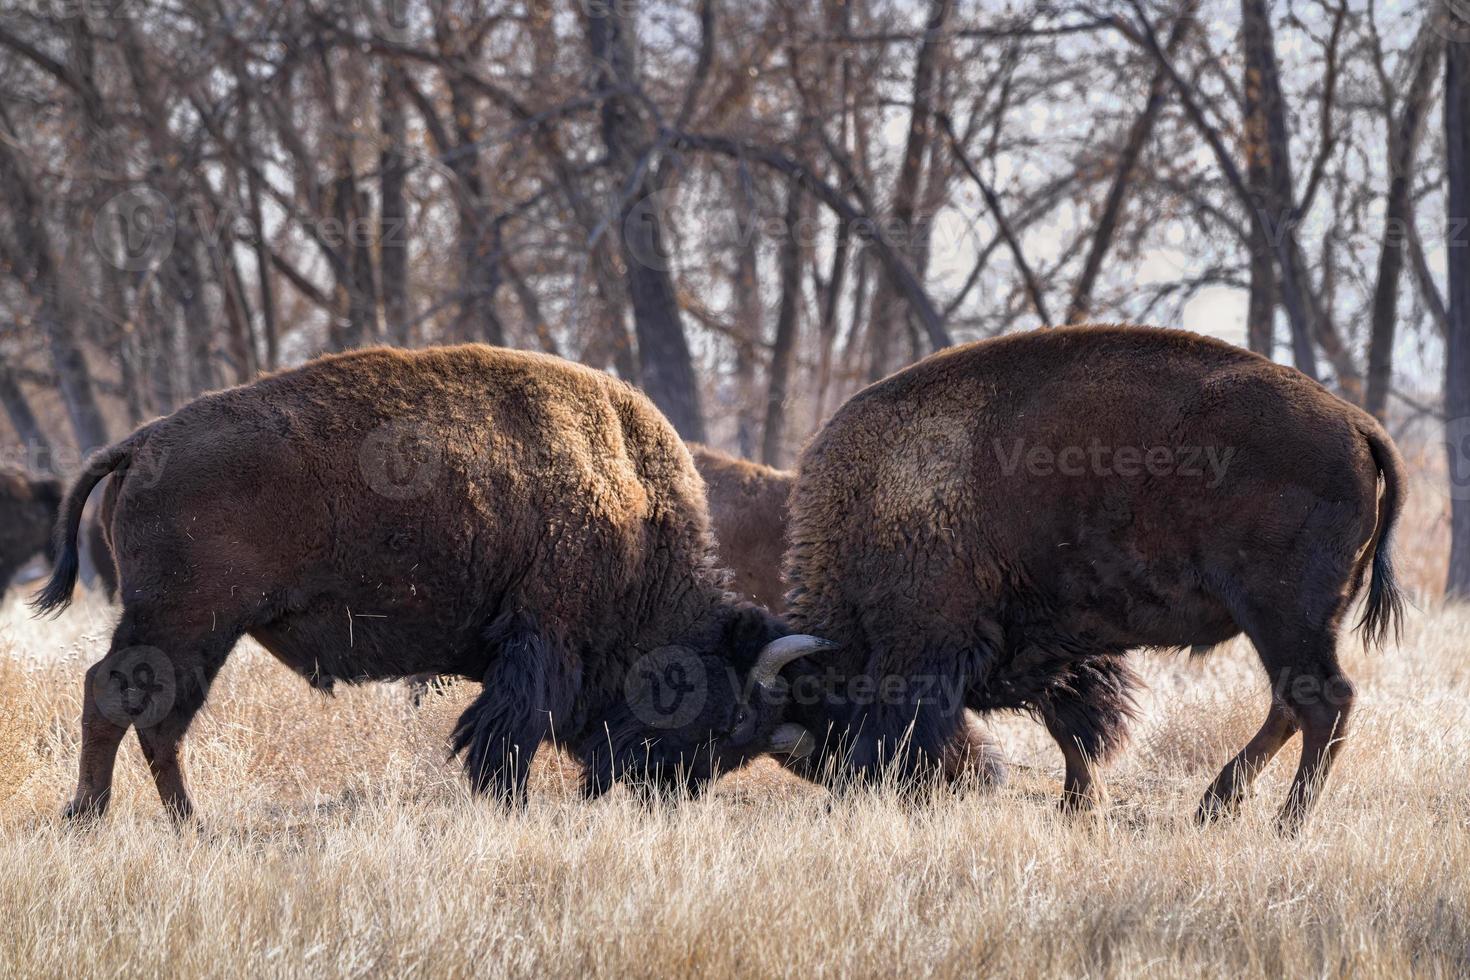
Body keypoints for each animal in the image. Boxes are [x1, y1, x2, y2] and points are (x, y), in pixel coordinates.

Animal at [34, 345, 834, 822]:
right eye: (726, 719)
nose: (664, 795)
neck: (633, 511)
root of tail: (143, 442)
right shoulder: (540, 644)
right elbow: (505, 737)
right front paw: (505, 806)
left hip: (199, 635)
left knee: (156, 718)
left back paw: (183, 824)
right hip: (183, 623)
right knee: (116, 697)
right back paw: (94, 818)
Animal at [787, 326, 1405, 834]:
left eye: (827, 706)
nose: (837, 788)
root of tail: (1358, 424)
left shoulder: (931, 642)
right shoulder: (1051, 649)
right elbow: (1075, 724)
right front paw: (1078, 807)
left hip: (1280, 614)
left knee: (1323, 701)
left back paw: (1285, 824)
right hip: (1297, 623)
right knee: (1291, 703)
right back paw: (1217, 805)